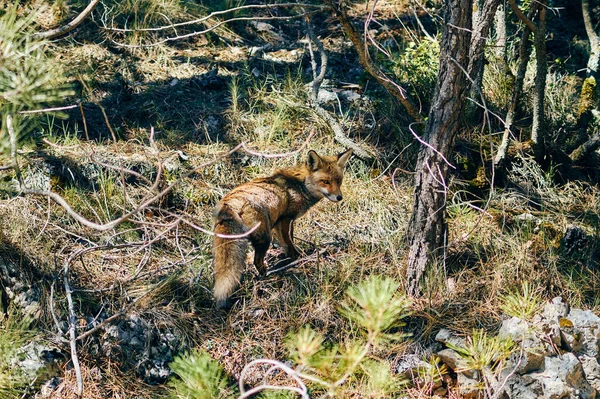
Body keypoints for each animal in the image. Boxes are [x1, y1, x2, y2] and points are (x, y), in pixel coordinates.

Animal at [212, 148, 352, 308]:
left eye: (339, 181)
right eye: (325, 181)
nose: (339, 197)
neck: (300, 186)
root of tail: (228, 202)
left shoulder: (280, 223)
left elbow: (286, 243)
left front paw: (288, 258)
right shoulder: (286, 219)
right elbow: (289, 242)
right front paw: (296, 258)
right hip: (264, 238)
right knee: (257, 261)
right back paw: (266, 275)